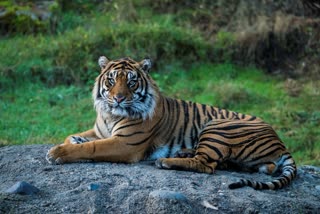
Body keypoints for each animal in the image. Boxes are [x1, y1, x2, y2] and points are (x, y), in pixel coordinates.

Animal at [45, 56, 298, 190]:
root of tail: (280, 141)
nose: (118, 98)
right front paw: (72, 141)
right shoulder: (99, 131)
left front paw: (57, 153)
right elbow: (75, 137)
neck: (111, 114)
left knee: (206, 165)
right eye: (111, 80)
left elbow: (92, 147)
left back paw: (167, 161)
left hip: (218, 126)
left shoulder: (125, 144)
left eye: (131, 82)